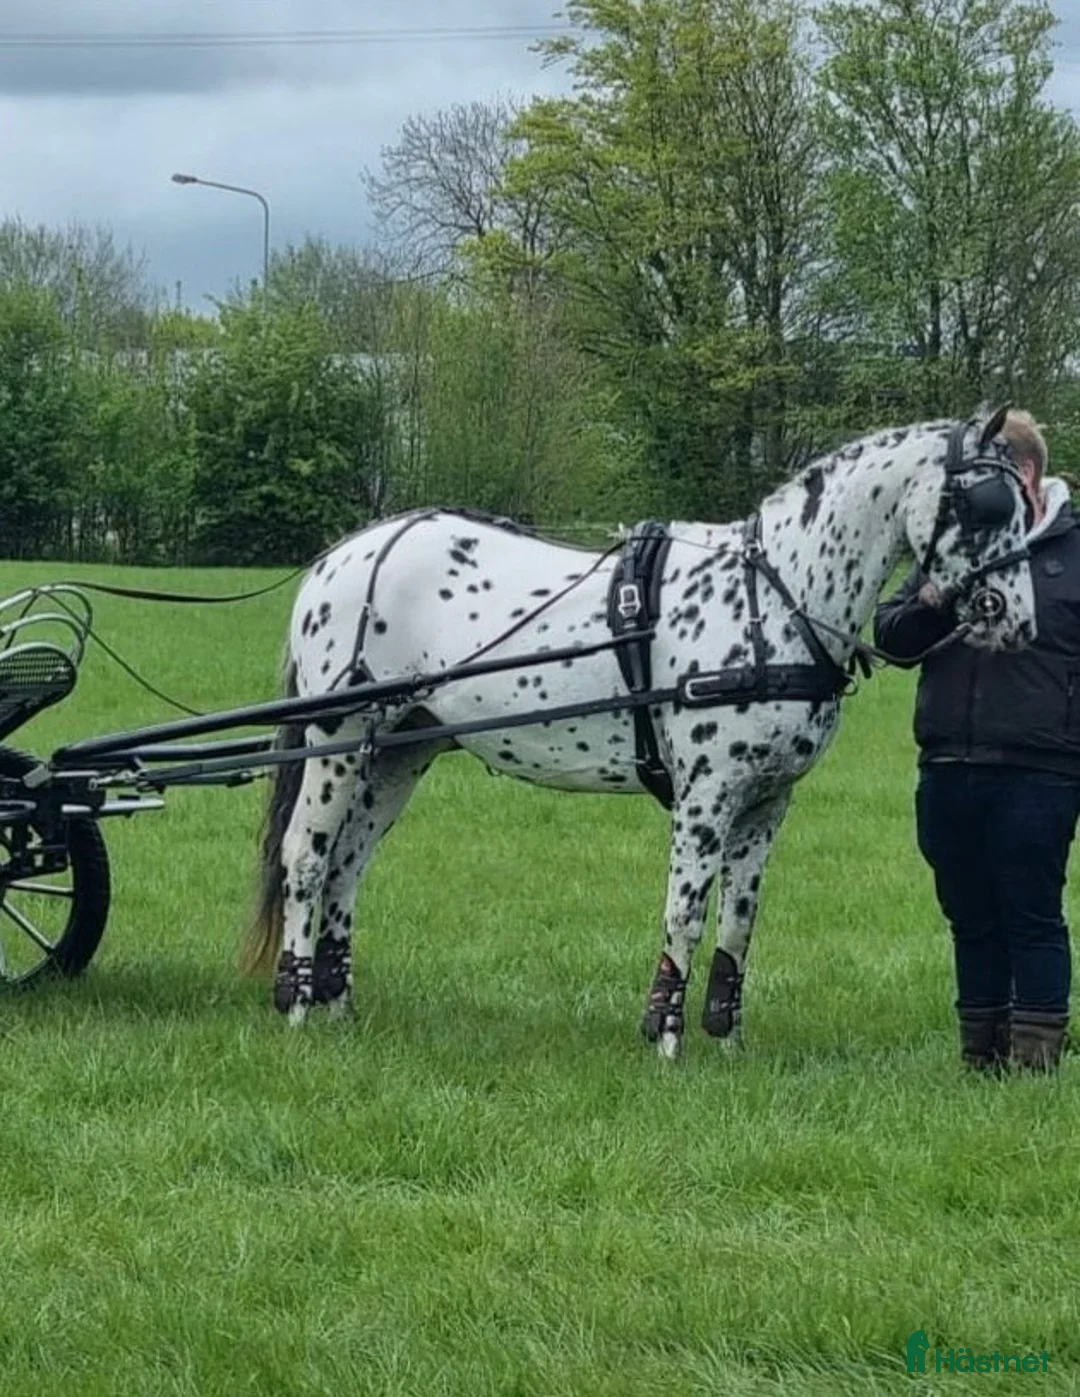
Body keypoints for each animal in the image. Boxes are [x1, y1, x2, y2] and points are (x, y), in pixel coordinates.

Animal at [242, 409, 1036, 1057]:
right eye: (989, 506)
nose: (1018, 621)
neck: (773, 597)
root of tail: (341, 557)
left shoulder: (768, 801)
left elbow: (739, 919)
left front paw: (728, 1037)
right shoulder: (706, 795)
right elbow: (684, 911)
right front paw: (666, 1036)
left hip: (396, 754)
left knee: (348, 865)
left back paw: (338, 1006)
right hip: (338, 739)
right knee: (306, 857)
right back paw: (297, 1005)